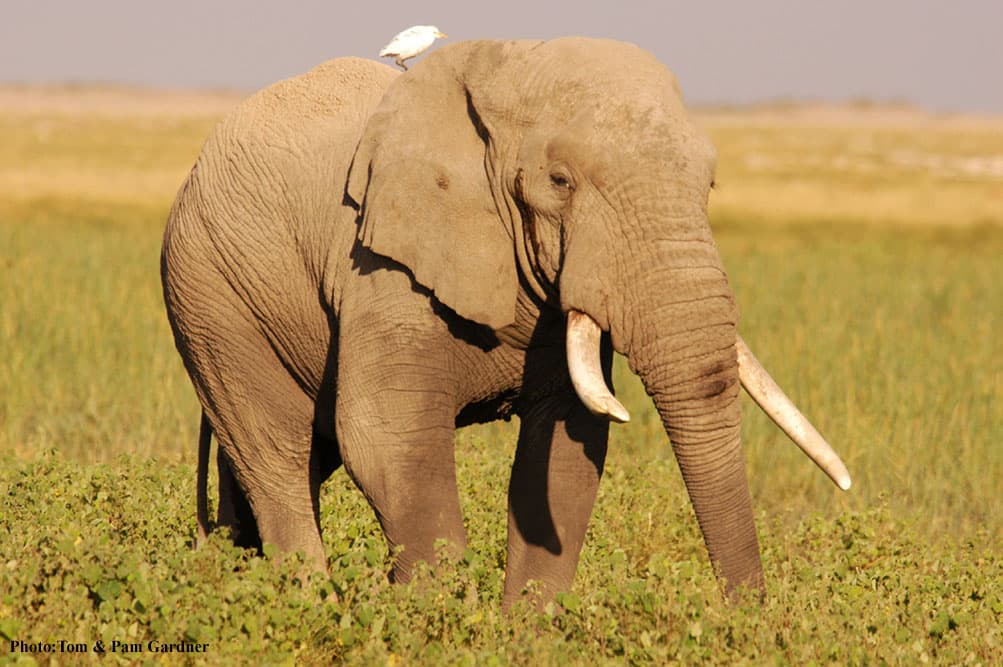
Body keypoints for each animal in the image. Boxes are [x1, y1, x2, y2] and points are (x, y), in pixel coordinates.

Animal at [161, 37, 850, 607]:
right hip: (211, 296)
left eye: (709, 186)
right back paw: (306, 606)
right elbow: (389, 438)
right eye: (560, 181)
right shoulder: (383, 265)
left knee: (293, 461)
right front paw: (438, 625)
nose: (747, 618)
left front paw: (527, 633)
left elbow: (567, 450)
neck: (507, 69)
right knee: (277, 457)